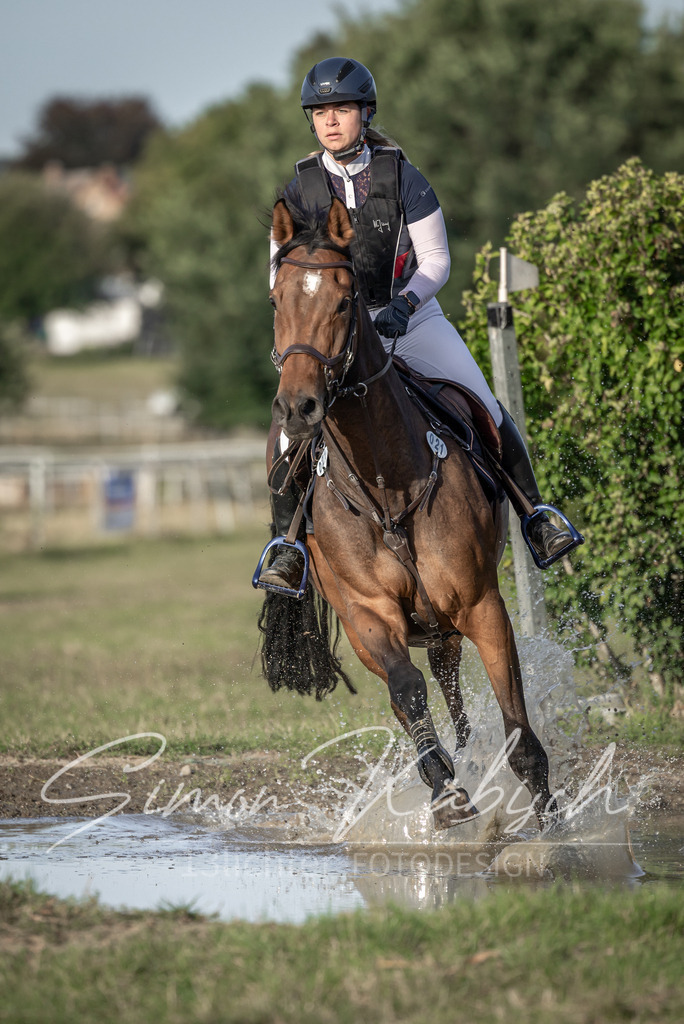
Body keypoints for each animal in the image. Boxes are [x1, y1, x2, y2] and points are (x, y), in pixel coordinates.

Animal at [257, 195, 557, 830]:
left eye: (344, 300)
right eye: (276, 301)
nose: (298, 408)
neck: (384, 486)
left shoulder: (481, 604)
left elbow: (519, 729)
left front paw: (553, 824)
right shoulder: (368, 616)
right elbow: (407, 690)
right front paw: (447, 794)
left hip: (445, 620)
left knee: (453, 686)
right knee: (427, 687)